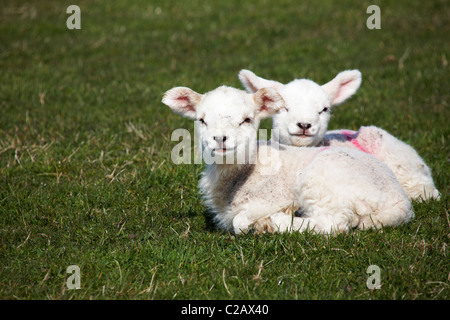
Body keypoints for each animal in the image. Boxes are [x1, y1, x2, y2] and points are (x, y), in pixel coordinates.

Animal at [163, 85, 414, 235]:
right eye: (201, 120)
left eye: (247, 119)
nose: (219, 139)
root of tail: (400, 203)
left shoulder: (271, 198)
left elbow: (239, 222)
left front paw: (263, 223)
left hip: (323, 181)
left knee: (332, 223)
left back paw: (279, 222)